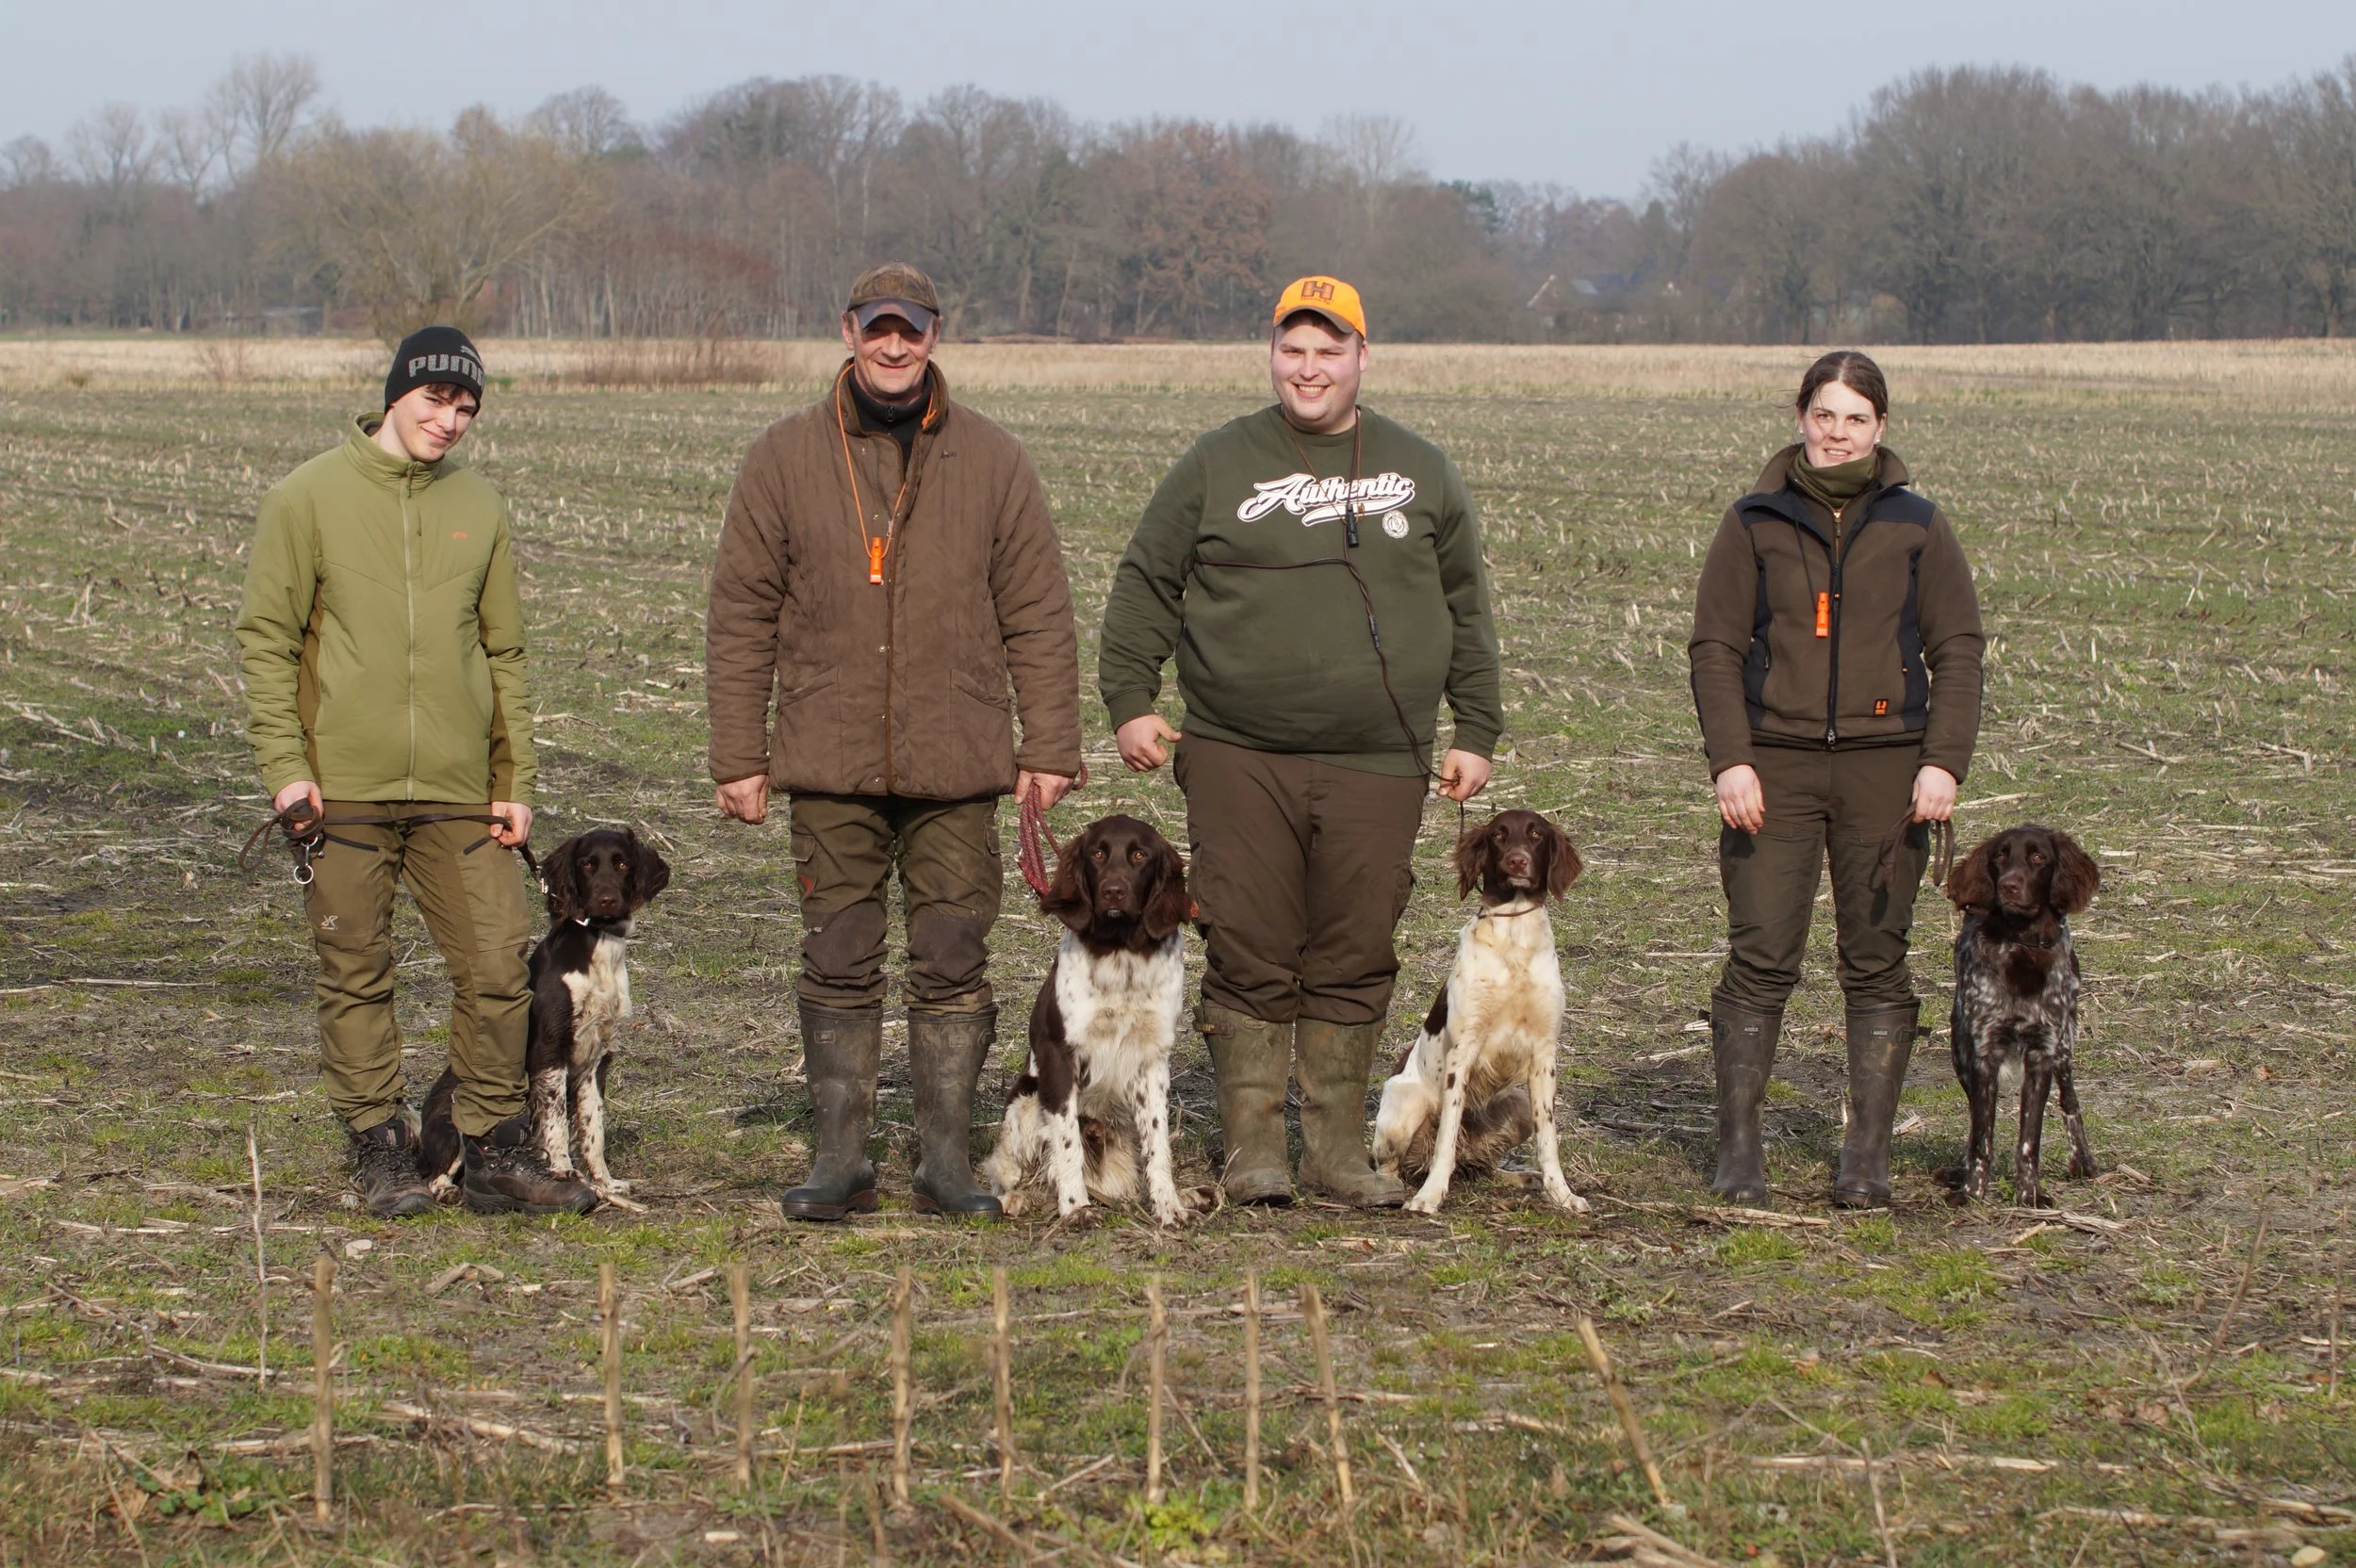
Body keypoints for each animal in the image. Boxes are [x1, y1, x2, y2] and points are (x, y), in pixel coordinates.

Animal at [421, 828, 671, 1209]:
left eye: (622, 863)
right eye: (587, 864)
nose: (607, 900)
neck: (598, 948)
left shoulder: (598, 1059)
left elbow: (593, 1127)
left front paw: (604, 1182)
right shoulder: (550, 1050)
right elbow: (555, 1121)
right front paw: (564, 1173)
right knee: (436, 1174)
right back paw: (449, 1190)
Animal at [981, 815, 1193, 1226]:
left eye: (1140, 855)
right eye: (1097, 854)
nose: (1113, 891)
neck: (1121, 950)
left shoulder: (1152, 1060)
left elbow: (1158, 1143)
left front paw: (1168, 1205)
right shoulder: (1059, 1055)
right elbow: (1066, 1144)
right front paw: (1075, 1206)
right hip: (1026, 1100)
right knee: (1012, 1169)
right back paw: (1016, 1198)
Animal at [1374, 809, 1587, 1216]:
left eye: (1536, 834)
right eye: (1498, 836)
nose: (1517, 861)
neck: (1515, 937)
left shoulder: (1544, 1053)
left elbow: (1548, 1138)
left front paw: (1561, 1193)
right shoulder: (1463, 1050)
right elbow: (1446, 1138)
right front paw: (1430, 1196)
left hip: (1517, 1105)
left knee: (1480, 1167)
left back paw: (1521, 1178)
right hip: (1404, 1105)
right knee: (1393, 1165)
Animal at [1941, 824, 2101, 1209]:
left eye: (2038, 857)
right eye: (2000, 856)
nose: (2009, 886)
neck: (2021, 944)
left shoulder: (2043, 1052)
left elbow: (2030, 1139)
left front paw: (2029, 1194)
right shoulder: (1982, 1052)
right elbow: (1981, 1137)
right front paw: (1972, 1191)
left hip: (2064, 1048)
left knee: (2070, 1100)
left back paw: (2083, 1160)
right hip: (1960, 1051)